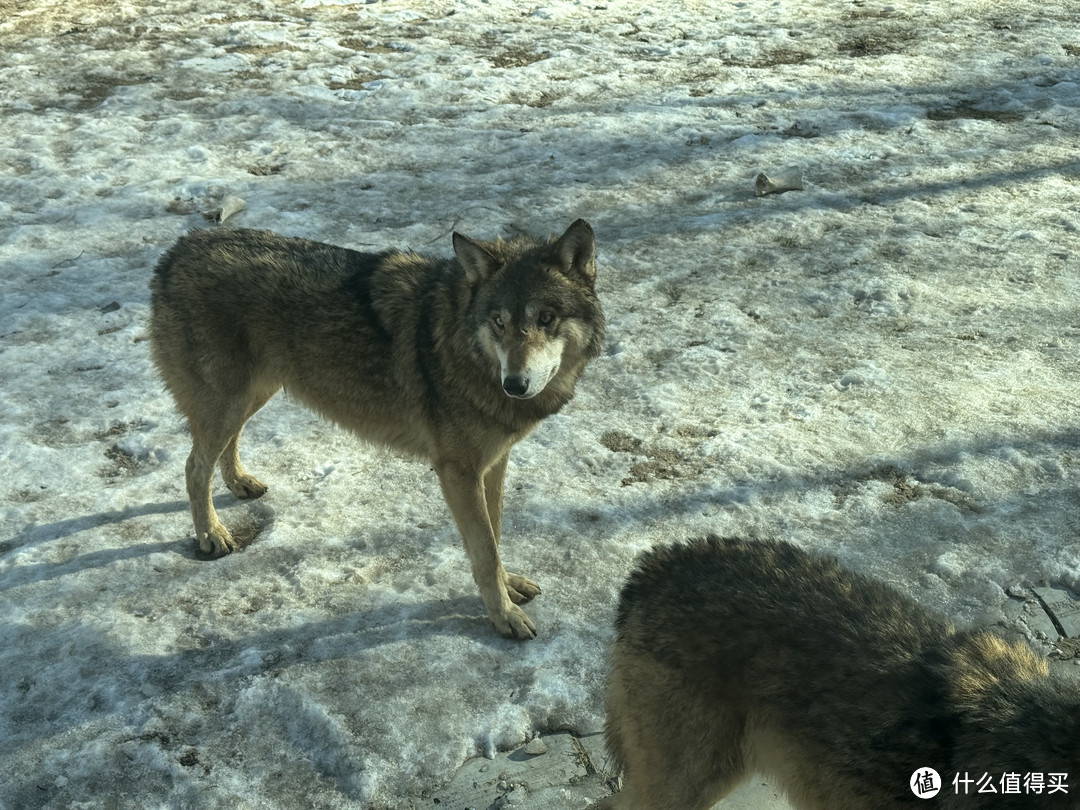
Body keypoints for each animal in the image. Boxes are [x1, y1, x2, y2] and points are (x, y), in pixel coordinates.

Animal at [151, 220, 604, 639]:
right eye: (498, 322)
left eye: (546, 318)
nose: (515, 384)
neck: (461, 342)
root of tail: (180, 247)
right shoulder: (458, 472)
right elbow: (485, 550)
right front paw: (504, 615)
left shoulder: (493, 463)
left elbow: (494, 536)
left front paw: (509, 588)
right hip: (229, 402)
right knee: (195, 467)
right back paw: (211, 534)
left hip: (252, 394)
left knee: (226, 446)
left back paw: (240, 483)